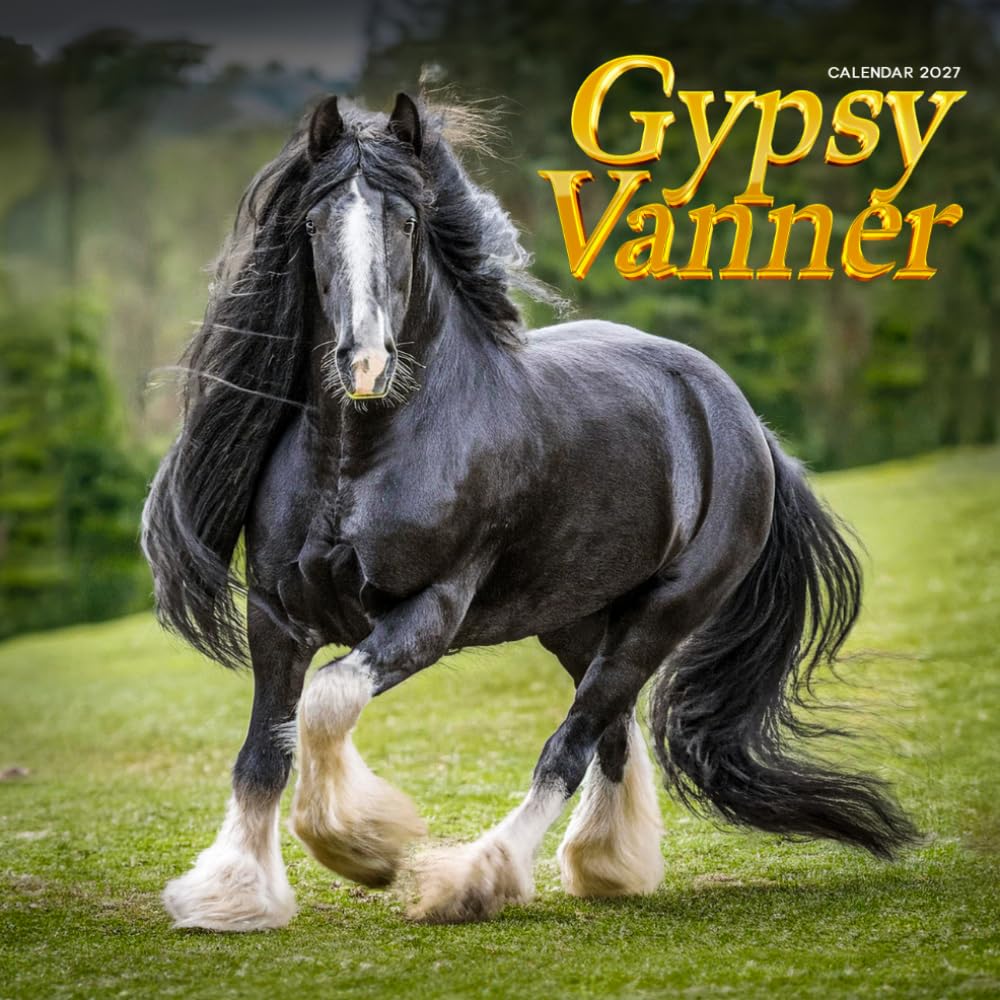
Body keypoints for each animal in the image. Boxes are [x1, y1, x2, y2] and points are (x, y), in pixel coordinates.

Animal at [141, 93, 917, 931]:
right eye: (314, 222)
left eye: (407, 221)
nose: (365, 364)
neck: (361, 459)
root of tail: (745, 424)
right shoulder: (277, 614)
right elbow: (265, 750)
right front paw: (232, 892)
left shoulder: (430, 611)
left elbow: (324, 703)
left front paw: (361, 847)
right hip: (576, 618)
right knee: (612, 726)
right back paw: (608, 863)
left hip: (664, 612)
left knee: (574, 741)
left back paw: (479, 879)